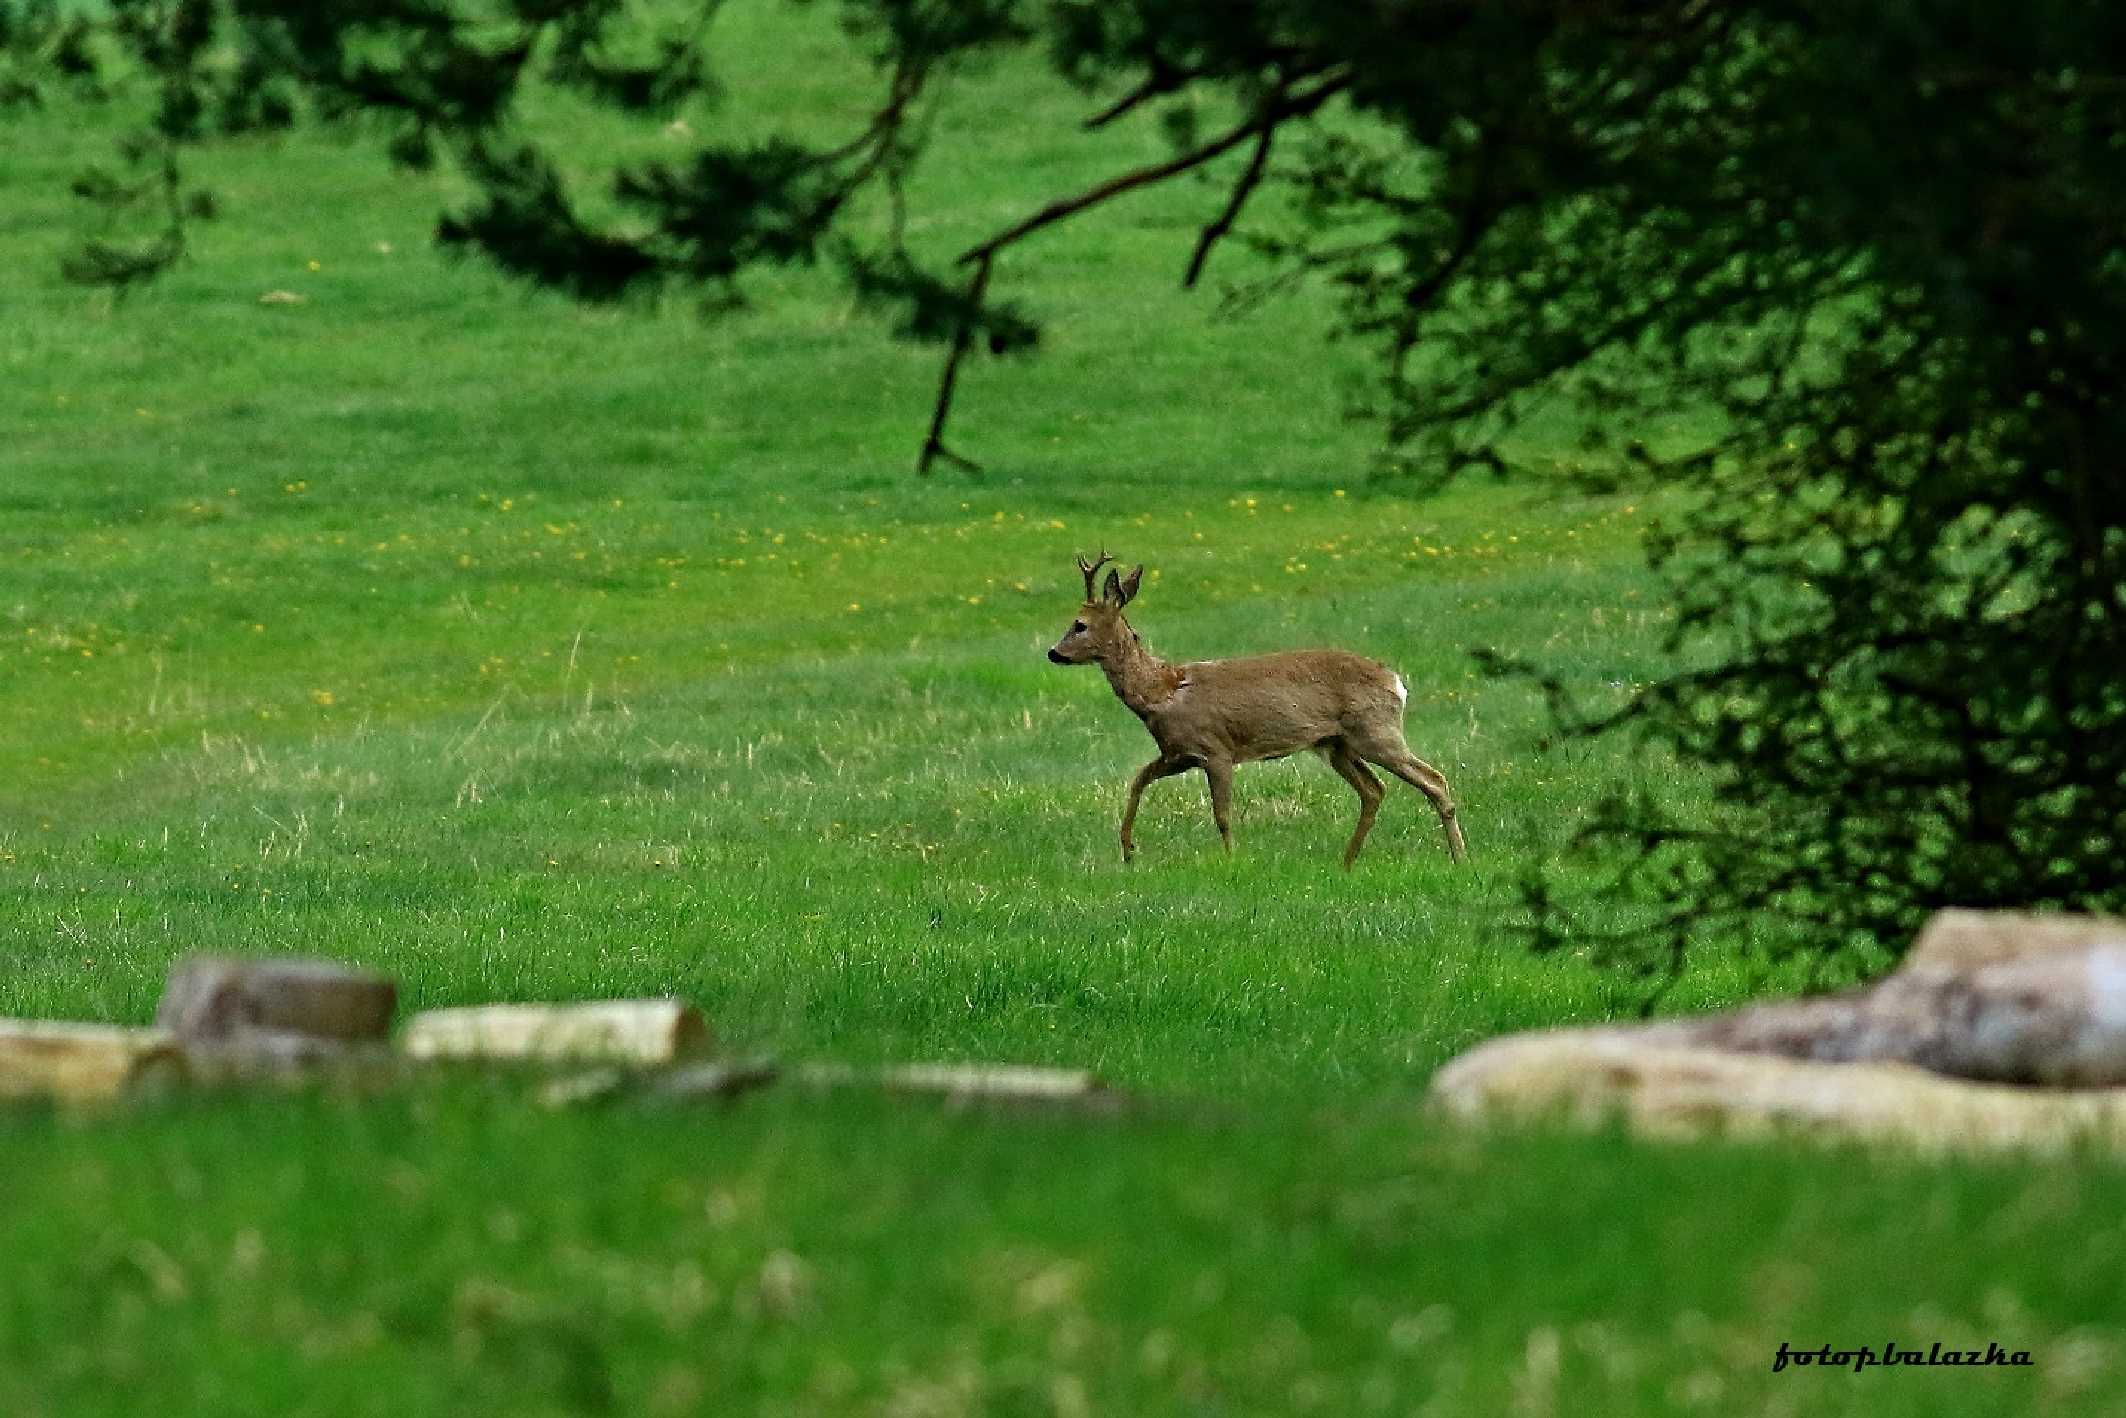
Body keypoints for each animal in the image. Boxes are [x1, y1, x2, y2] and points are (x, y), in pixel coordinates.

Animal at [1041, 552, 1462, 867]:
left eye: (1079, 625)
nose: (1053, 652)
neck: (1162, 691)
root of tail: (1395, 681)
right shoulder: (1177, 753)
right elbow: (1138, 780)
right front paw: (1128, 850)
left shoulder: (1216, 750)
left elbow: (1222, 815)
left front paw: (1231, 860)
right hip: (1337, 744)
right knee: (1373, 790)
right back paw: (1347, 861)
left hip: (1375, 731)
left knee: (1433, 779)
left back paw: (1459, 857)